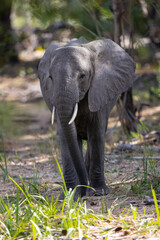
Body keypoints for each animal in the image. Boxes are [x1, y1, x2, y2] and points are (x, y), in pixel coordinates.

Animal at [38, 38, 136, 198]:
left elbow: (96, 134)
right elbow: (65, 137)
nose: (83, 191)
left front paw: (98, 192)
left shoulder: (100, 92)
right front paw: (70, 194)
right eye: (50, 78)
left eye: (83, 76)